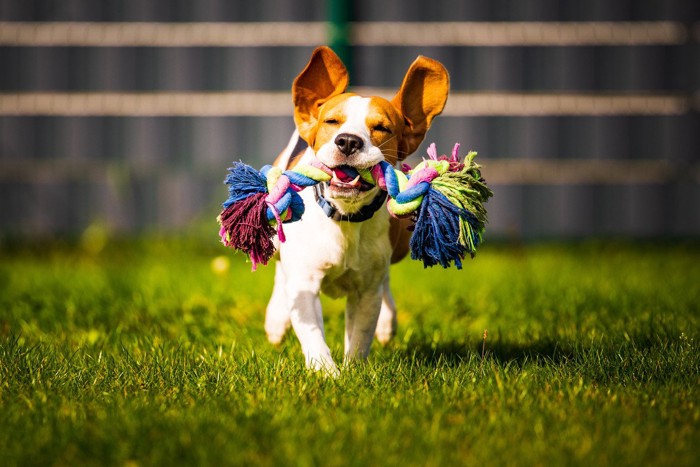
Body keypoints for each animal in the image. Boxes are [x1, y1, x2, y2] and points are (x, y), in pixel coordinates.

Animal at [262, 46, 448, 376]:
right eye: (332, 122)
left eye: (382, 128)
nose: (348, 141)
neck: (344, 216)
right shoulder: (305, 282)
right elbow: (312, 333)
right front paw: (326, 373)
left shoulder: (366, 291)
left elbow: (361, 335)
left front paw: (352, 372)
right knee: (281, 273)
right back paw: (276, 319)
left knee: (386, 283)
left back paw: (387, 322)